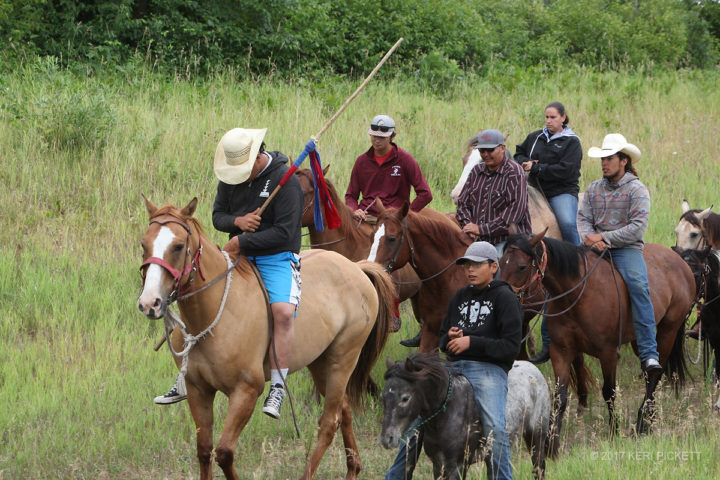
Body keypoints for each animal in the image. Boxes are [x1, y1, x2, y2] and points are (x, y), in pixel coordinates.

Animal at [138, 196, 396, 480]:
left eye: (178, 246)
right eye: (144, 244)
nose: (150, 303)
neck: (215, 313)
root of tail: (357, 268)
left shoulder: (246, 392)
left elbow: (224, 452)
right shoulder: (198, 389)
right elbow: (205, 450)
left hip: (343, 359)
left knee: (330, 422)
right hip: (320, 362)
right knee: (344, 409)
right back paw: (353, 468)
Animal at [380, 352, 556, 480]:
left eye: (405, 398)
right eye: (383, 396)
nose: (387, 439)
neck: (449, 413)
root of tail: (533, 370)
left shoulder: (456, 465)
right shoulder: (439, 464)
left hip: (537, 436)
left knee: (539, 468)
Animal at [498, 229, 696, 446]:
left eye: (522, 266)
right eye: (500, 262)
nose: (505, 296)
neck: (578, 294)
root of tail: (680, 261)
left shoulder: (608, 353)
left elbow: (609, 392)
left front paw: (614, 431)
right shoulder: (561, 351)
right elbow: (559, 396)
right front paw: (551, 439)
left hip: (669, 329)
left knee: (654, 374)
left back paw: (643, 424)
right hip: (641, 339)